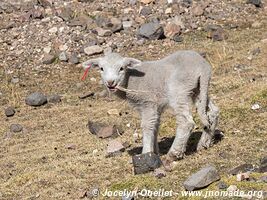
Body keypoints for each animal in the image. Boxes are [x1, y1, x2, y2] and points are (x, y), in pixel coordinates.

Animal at [83, 50, 220, 162]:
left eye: (121, 68)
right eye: (101, 68)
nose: (110, 82)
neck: (130, 80)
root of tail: (203, 67)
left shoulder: (148, 102)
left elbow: (147, 125)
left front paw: (146, 153)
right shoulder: (156, 106)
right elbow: (155, 125)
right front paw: (155, 151)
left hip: (179, 91)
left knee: (186, 122)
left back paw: (174, 153)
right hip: (198, 89)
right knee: (212, 112)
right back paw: (204, 143)